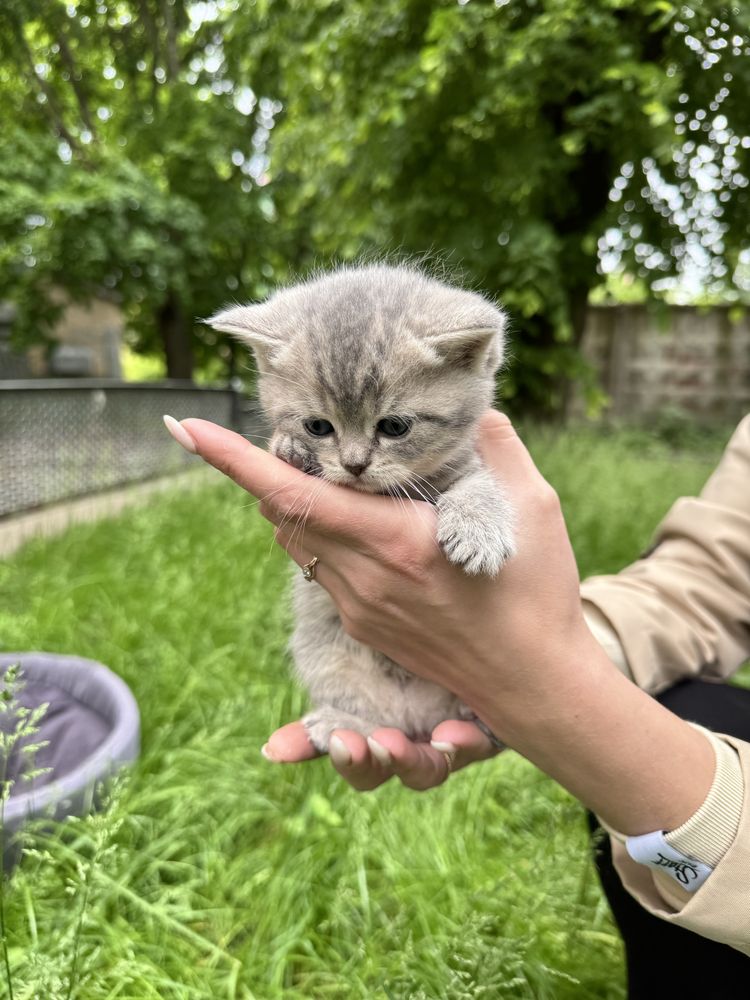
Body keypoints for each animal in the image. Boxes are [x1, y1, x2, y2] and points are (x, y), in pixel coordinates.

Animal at [212, 266, 516, 752]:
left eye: (394, 427)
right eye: (318, 426)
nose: (355, 464)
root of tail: (420, 715)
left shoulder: (464, 464)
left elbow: (476, 483)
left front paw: (478, 530)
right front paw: (291, 452)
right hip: (326, 653)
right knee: (380, 720)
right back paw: (343, 725)